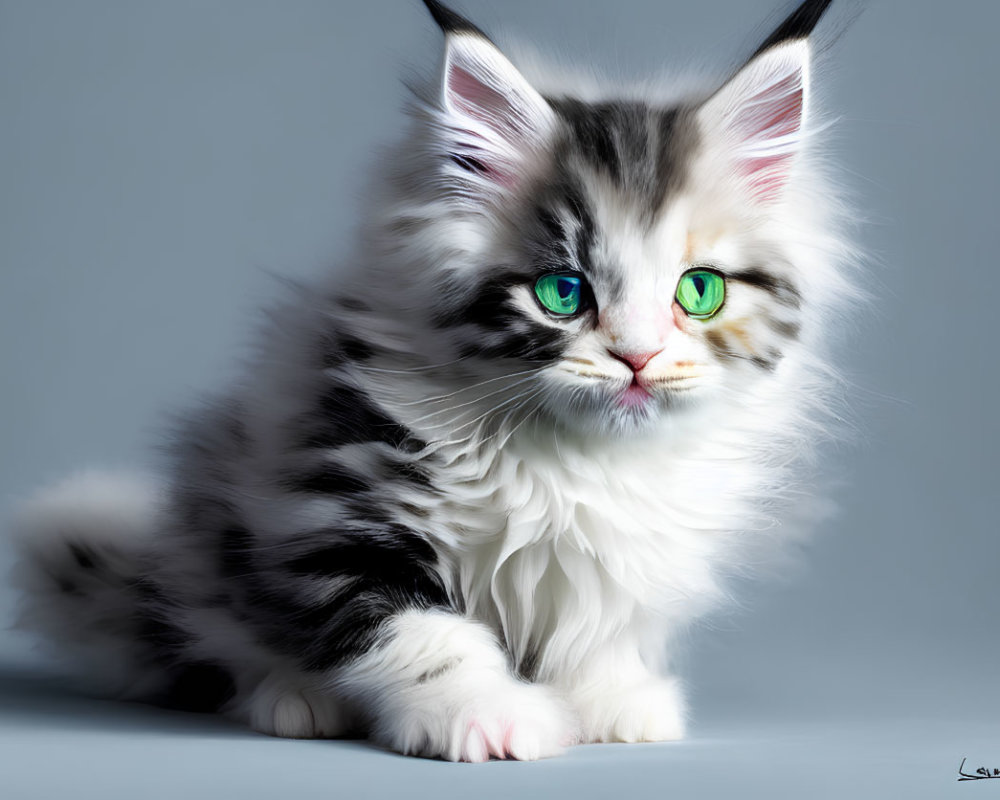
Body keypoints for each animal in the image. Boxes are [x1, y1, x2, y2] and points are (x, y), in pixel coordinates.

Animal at [7, 0, 852, 764]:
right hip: (211, 539)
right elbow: (425, 636)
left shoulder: (621, 559)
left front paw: (611, 700)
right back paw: (293, 699)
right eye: (563, 293)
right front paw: (491, 720)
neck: (576, 462)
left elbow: (600, 630)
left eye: (698, 291)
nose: (637, 358)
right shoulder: (334, 508)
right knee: (230, 639)